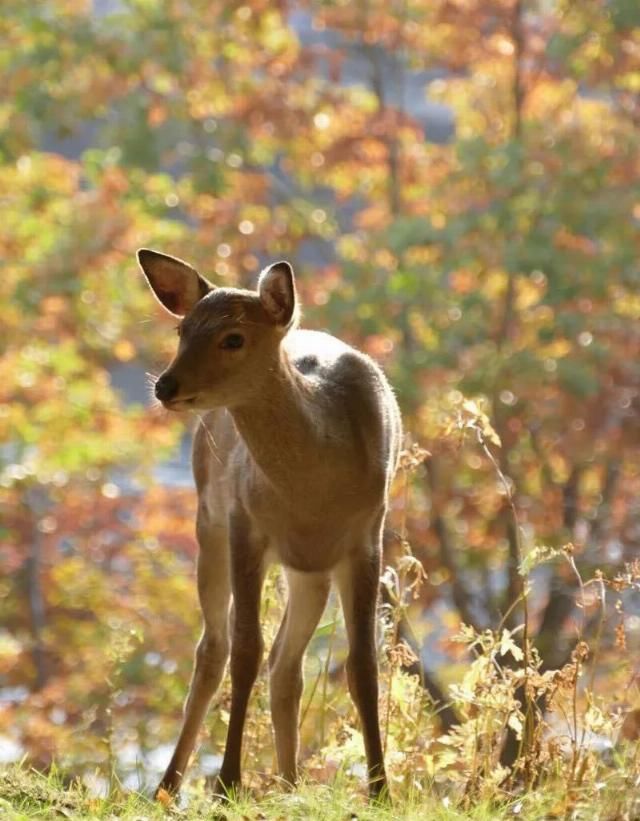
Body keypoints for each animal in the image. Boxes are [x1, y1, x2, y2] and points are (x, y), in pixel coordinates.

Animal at [138, 247, 402, 796]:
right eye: (181, 330)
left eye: (233, 337)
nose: (165, 386)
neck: (315, 493)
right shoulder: (246, 524)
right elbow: (245, 651)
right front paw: (227, 782)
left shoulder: (367, 535)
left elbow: (363, 664)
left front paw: (381, 789)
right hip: (208, 522)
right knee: (214, 650)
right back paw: (170, 786)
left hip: (309, 571)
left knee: (286, 664)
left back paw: (289, 782)